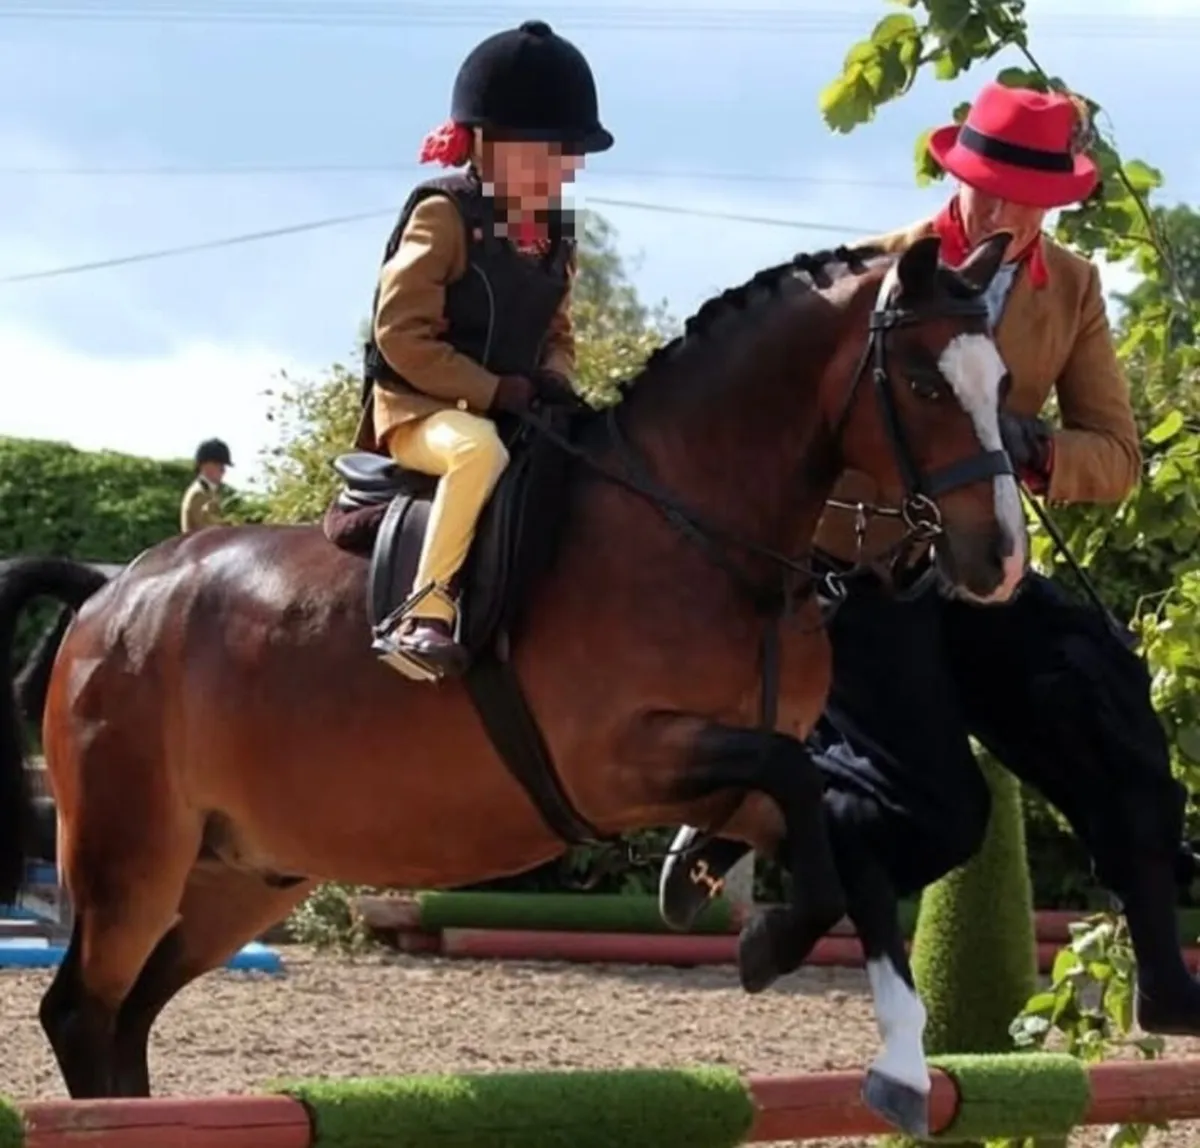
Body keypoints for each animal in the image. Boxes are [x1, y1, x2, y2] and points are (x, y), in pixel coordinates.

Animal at [0, 231, 1025, 1136]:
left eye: (1004, 384)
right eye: (925, 384)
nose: (1001, 561)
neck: (705, 532)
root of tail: (112, 591)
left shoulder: (718, 770)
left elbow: (833, 828)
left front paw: (897, 1065)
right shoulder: (616, 762)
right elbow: (796, 778)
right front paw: (763, 936)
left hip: (240, 873)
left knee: (130, 1014)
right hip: (134, 855)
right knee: (84, 1011)